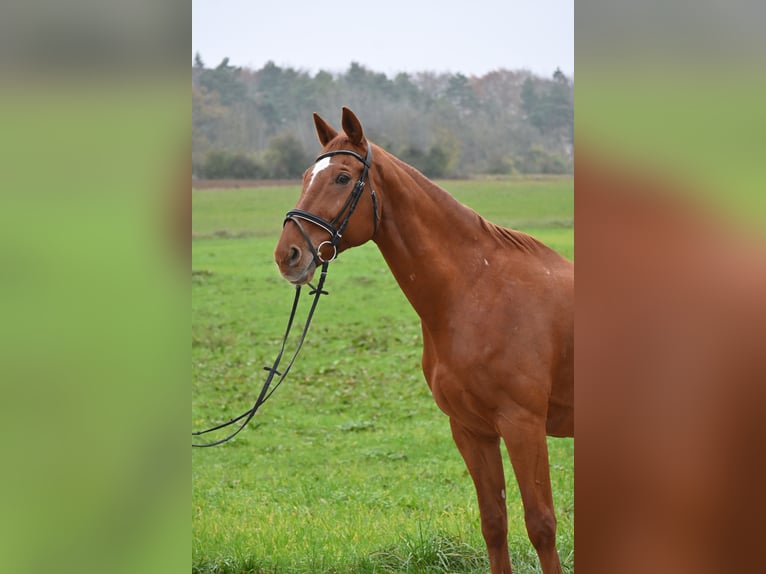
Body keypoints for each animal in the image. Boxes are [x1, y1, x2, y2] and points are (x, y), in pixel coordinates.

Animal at [274, 107, 573, 574]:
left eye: (342, 178)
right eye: (306, 175)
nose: (287, 255)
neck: (478, 292)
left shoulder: (523, 426)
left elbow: (541, 525)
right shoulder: (471, 430)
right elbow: (494, 523)